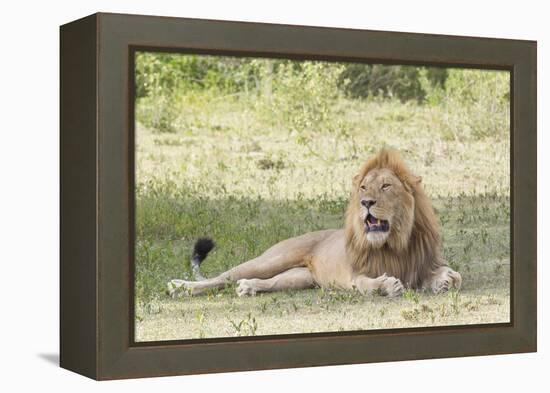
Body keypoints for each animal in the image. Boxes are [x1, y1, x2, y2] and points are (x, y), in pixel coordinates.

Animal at [168, 148, 462, 298]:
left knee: (267, 282)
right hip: (271, 259)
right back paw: (179, 287)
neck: (393, 243)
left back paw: (248, 287)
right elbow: (366, 283)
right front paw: (388, 285)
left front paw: (445, 280)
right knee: (221, 278)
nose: (365, 202)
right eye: (364, 187)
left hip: (299, 277)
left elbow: (451, 275)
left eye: (386, 186)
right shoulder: (354, 274)